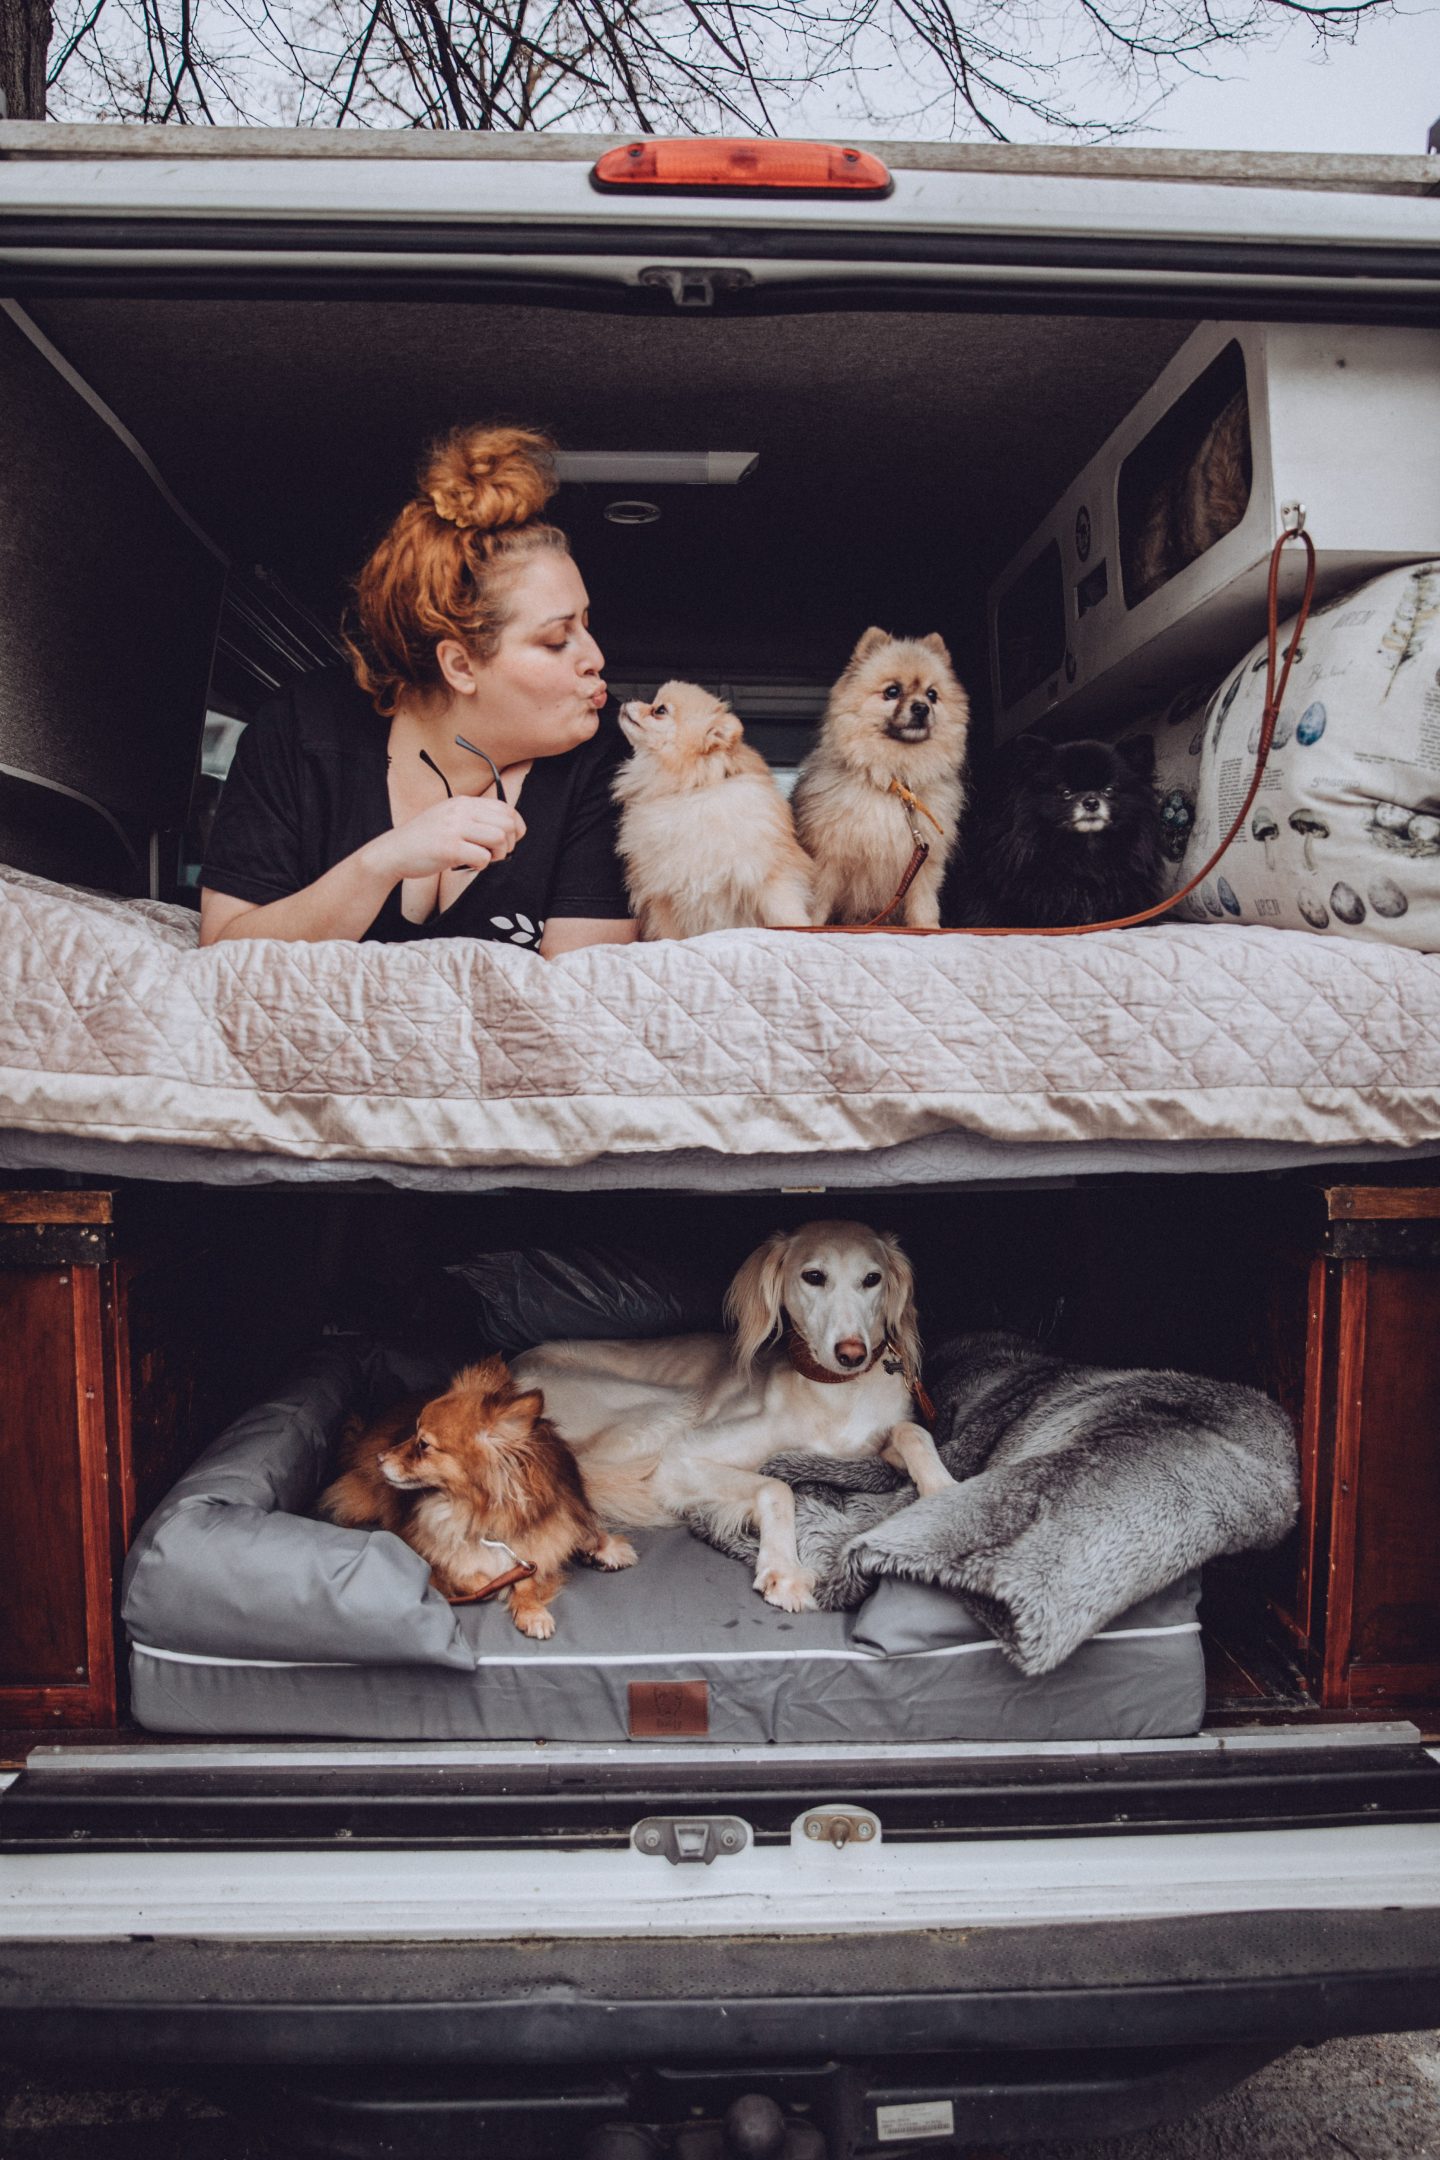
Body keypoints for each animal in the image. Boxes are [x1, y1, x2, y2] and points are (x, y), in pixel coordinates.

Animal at [511, 1226, 949, 1615]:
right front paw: (785, 1569)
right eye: (813, 1276)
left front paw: (942, 1490)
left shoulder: (870, 1447)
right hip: (667, 1406)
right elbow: (775, 1487)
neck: (836, 1394)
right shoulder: (680, 1458)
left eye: (872, 1279)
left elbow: (912, 1431)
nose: (852, 1354)